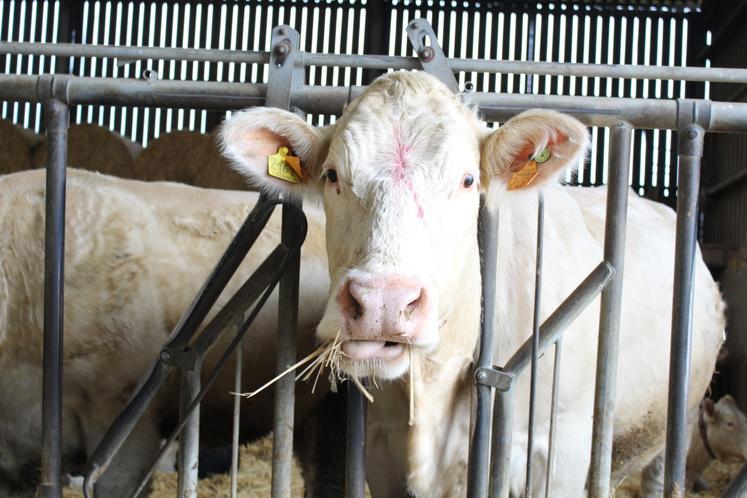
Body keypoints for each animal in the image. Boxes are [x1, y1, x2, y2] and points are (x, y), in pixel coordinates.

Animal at [220, 70, 726, 497]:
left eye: (467, 180)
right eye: (332, 176)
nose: (383, 302)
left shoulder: (557, 449)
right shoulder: (382, 453)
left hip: (675, 418)